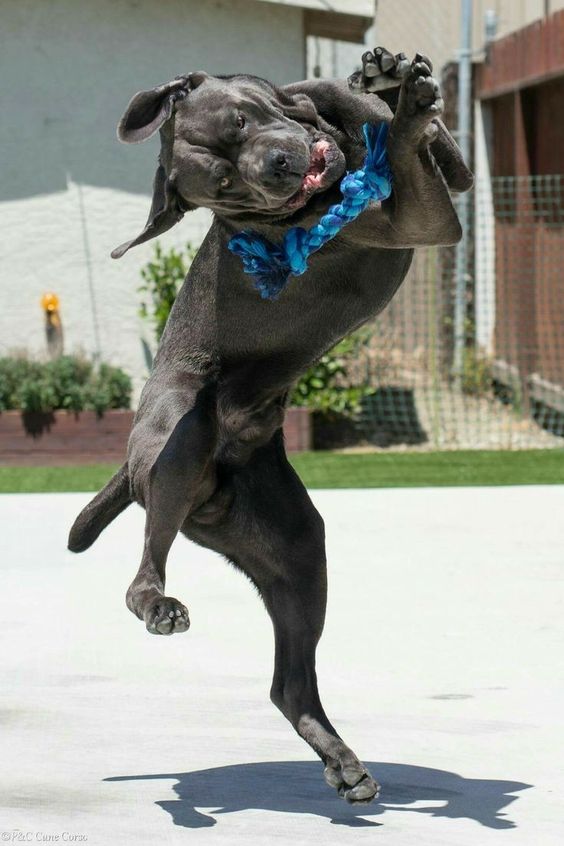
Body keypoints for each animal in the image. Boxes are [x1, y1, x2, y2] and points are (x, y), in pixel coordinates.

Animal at [69, 49, 472, 804]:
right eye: (225, 188)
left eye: (240, 120)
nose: (278, 167)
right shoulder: (421, 221)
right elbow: (408, 158)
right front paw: (400, 114)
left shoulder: (447, 175)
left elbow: (398, 127)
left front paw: (384, 82)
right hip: (180, 437)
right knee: (145, 567)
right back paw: (159, 606)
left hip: (296, 550)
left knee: (290, 685)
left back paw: (343, 762)